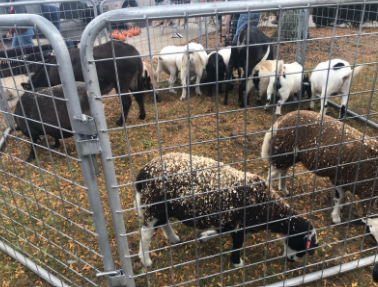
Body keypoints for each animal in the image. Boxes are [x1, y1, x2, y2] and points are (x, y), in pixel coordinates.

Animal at [134, 154, 318, 268]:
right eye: (303, 245)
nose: (290, 261)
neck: (269, 209)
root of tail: (142, 174)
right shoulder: (240, 224)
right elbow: (237, 243)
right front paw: (237, 262)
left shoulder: (231, 220)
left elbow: (221, 230)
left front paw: (205, 237)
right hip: (153, 203)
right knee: (146, 233)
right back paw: (146, 260)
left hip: (160, 207)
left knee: (163, 223)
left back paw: (173, 238)